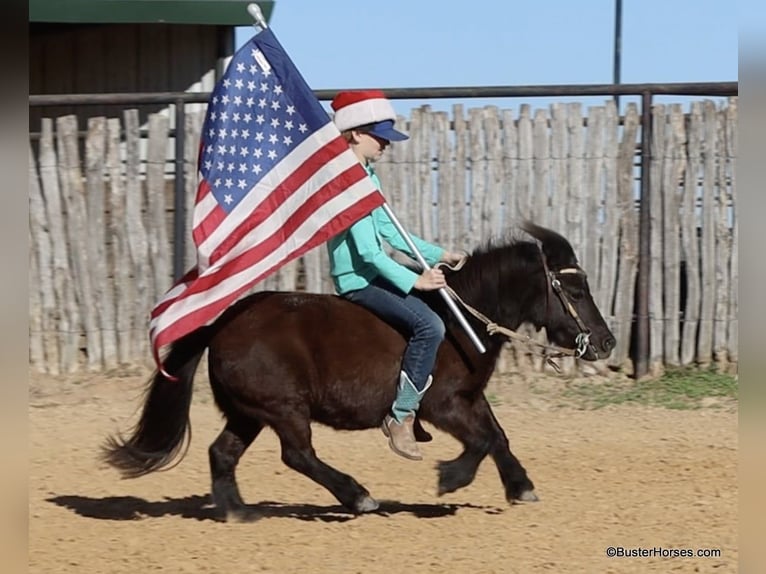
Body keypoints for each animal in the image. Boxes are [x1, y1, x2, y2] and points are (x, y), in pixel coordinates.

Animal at [104, 221, 615, 519]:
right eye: (576, 290)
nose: (607, 342)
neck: (460, 320)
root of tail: (224, 322)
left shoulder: (470, 399)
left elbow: (499, 437)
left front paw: (522, 488)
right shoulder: (445, 405)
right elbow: (482, 441)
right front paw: (449, 478)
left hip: (250, 413)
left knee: (222, 453)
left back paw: (238, 512)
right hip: (284, 409)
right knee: (298, 455)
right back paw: (357, 496)